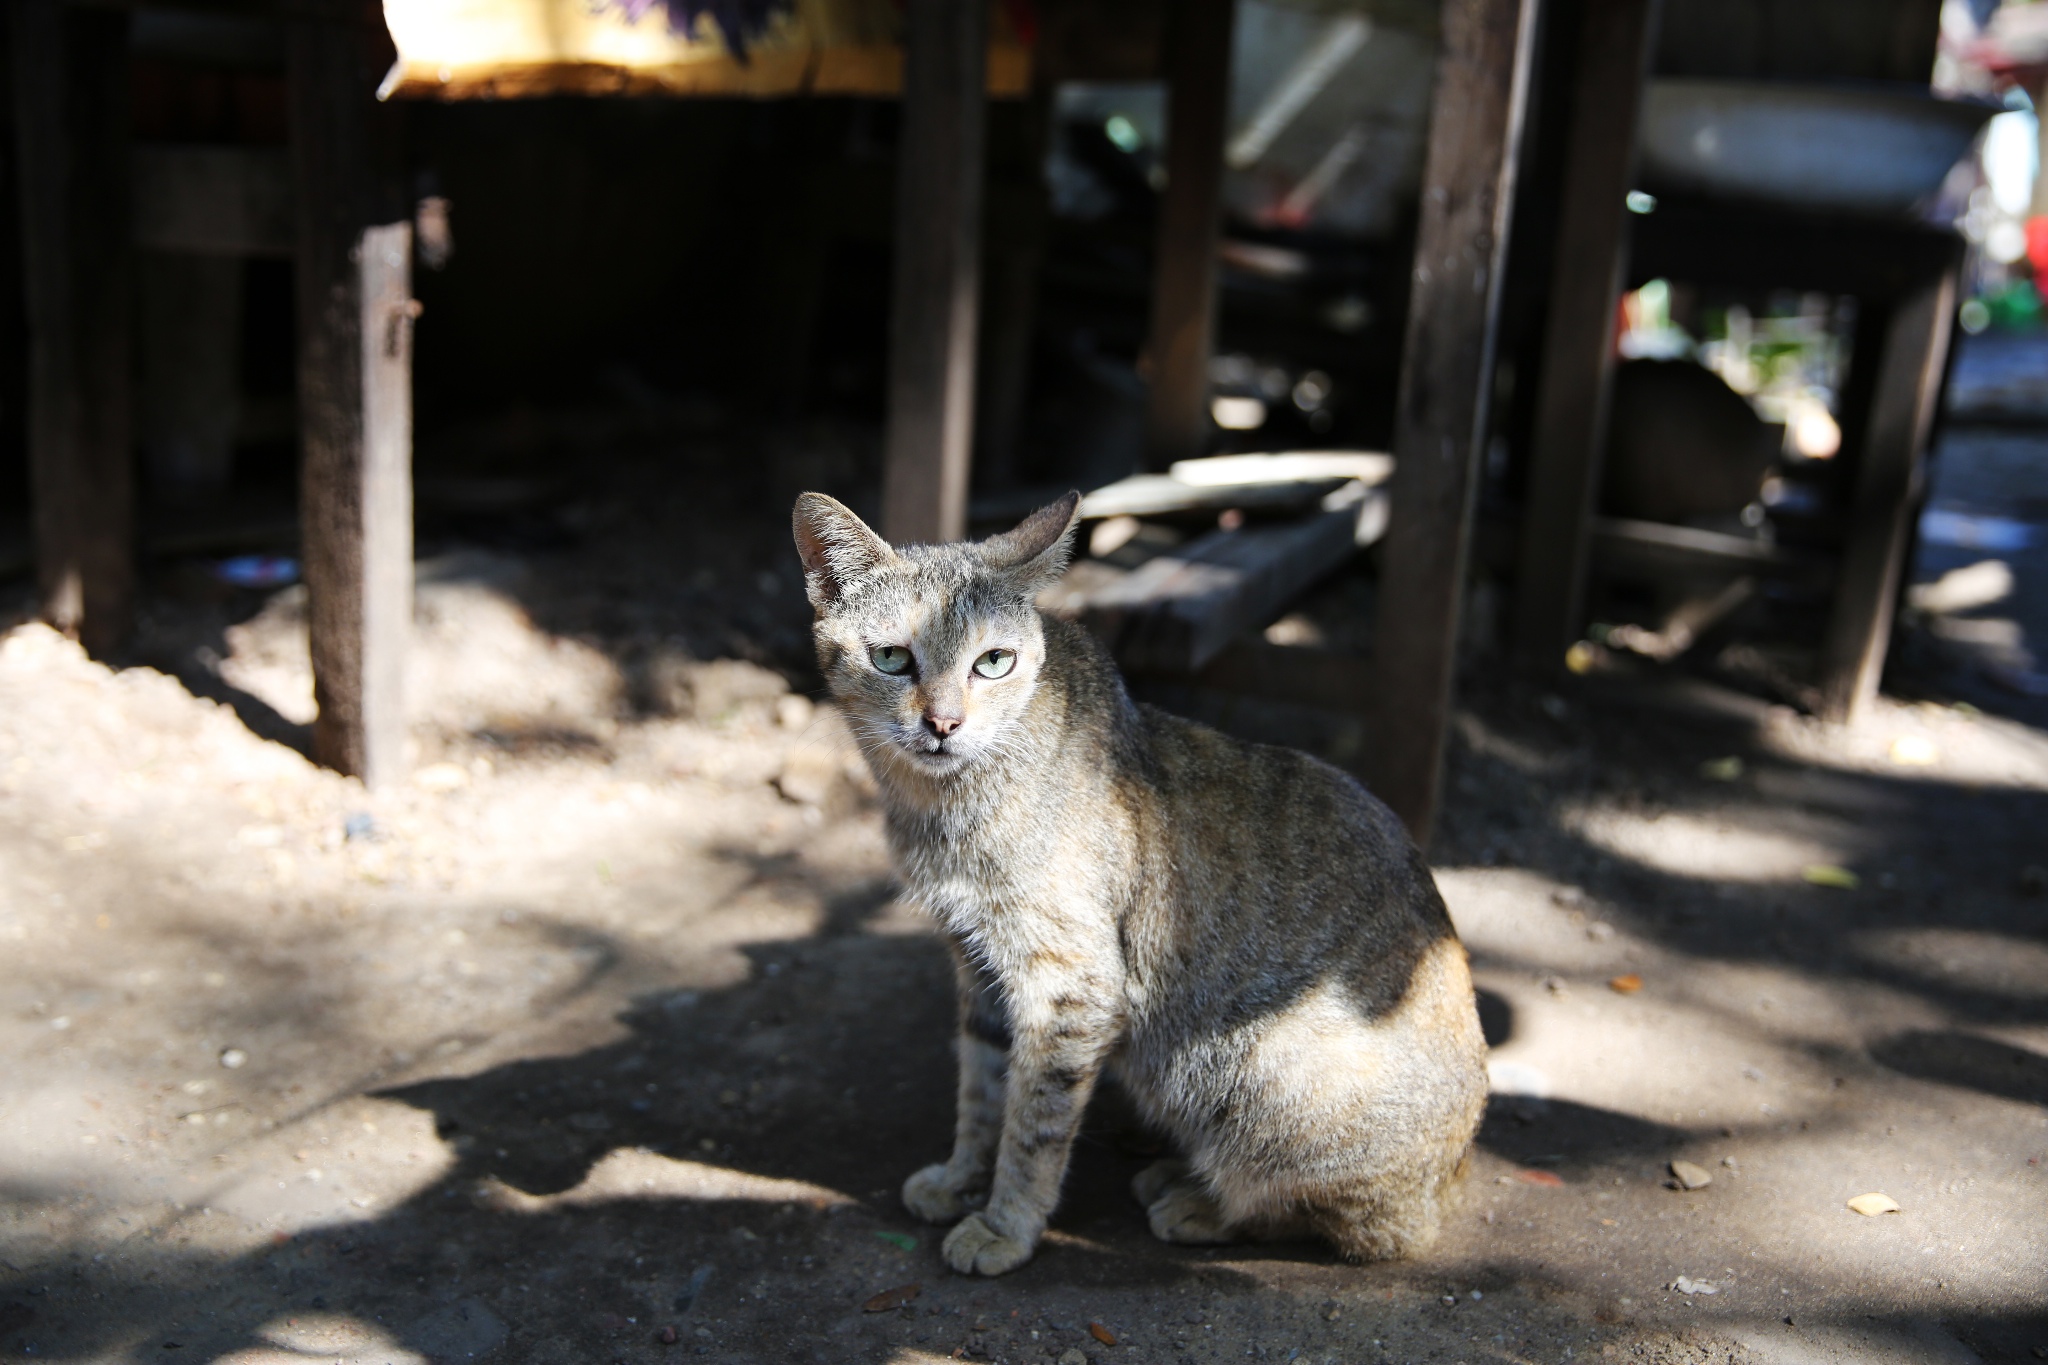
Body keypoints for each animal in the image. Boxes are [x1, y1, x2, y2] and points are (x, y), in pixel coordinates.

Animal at [790, 493, 1482, 1285]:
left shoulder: (1069, 985)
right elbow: (982, 1092)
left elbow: (1033, 1125)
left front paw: (1005, 1224)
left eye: (993, 662)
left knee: (1356, 1225)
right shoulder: (980, 967)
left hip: (1252, 1065)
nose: (943, 723)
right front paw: (961, 1178)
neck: (942, 808)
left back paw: (1200, 1203)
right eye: (891, 658)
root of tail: (1450, 1180)